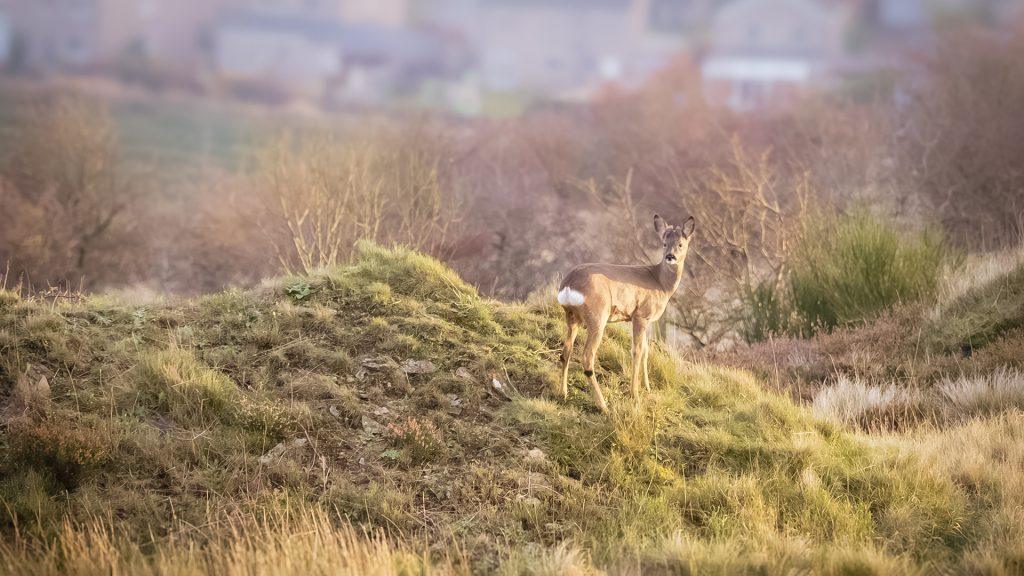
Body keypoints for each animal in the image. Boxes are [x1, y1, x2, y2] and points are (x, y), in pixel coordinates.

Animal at [555, 214, 695, 412]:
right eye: (664, 243)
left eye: (681, 244)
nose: (670, 256)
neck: (660, 283)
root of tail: (568, 285)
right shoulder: (641, 315)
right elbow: (637, 350)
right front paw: (635, 395)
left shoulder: (647, 320)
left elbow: (646, 350)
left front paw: (648, 388)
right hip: (598, 316)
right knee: (587, 358)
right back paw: (603, 405)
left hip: (571, 317)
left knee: (565, 352)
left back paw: (563, 393)